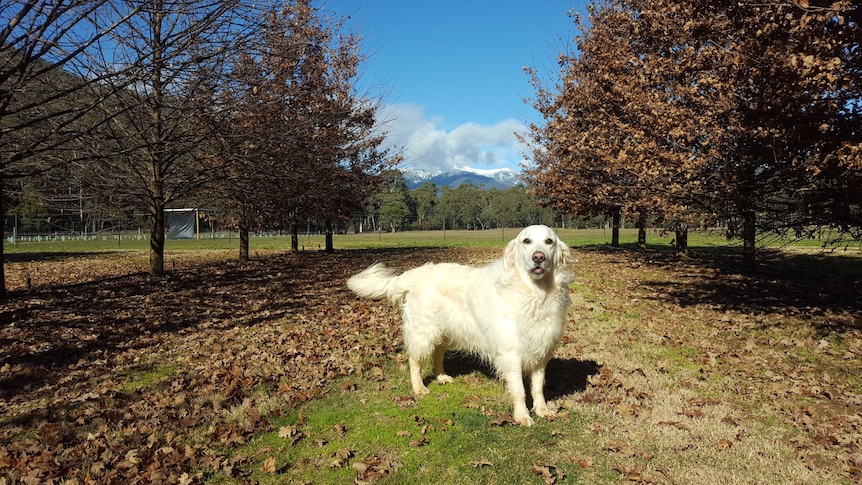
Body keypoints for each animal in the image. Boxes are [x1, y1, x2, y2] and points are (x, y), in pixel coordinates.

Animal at [348, 223, 576, 424]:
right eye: (526, 241)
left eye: (549, 241)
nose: (539, 257)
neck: (535, 294)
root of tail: (412, 274)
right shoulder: (511, 353)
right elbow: (519, 390)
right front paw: (522, 416)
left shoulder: (542, 349)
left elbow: (537, 387)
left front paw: (542, 410)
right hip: (424, 331)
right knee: (414, 360)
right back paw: (419, 388)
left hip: (445, 330)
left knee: (437, 353)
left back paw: (441, 376)